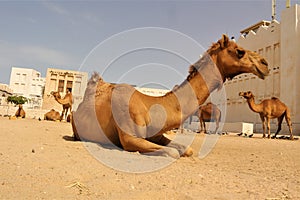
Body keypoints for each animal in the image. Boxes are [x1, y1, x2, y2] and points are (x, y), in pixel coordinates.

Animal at [71, 35, 270, 159]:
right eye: (239, 51)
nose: (265, 64)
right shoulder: (129, 138)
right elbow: (173, 153)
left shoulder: (158, 136)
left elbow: (187, 150)